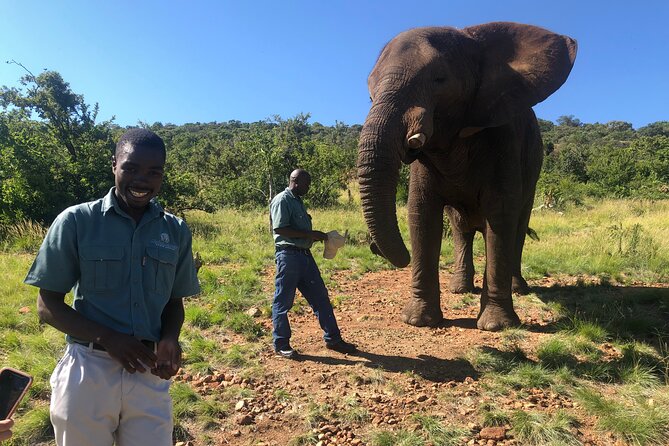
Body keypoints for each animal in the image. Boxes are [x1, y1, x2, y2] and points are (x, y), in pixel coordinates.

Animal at [357, 22, 577, 331]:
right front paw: (418, 321)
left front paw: (496, 326)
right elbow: (421, 215)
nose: (374, 247)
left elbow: (500, 215)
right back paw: (460, 289)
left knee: (517, 226)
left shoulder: (504, 138)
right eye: (370, 95)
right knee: (462, 228)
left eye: (439, 78)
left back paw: (518, 288)